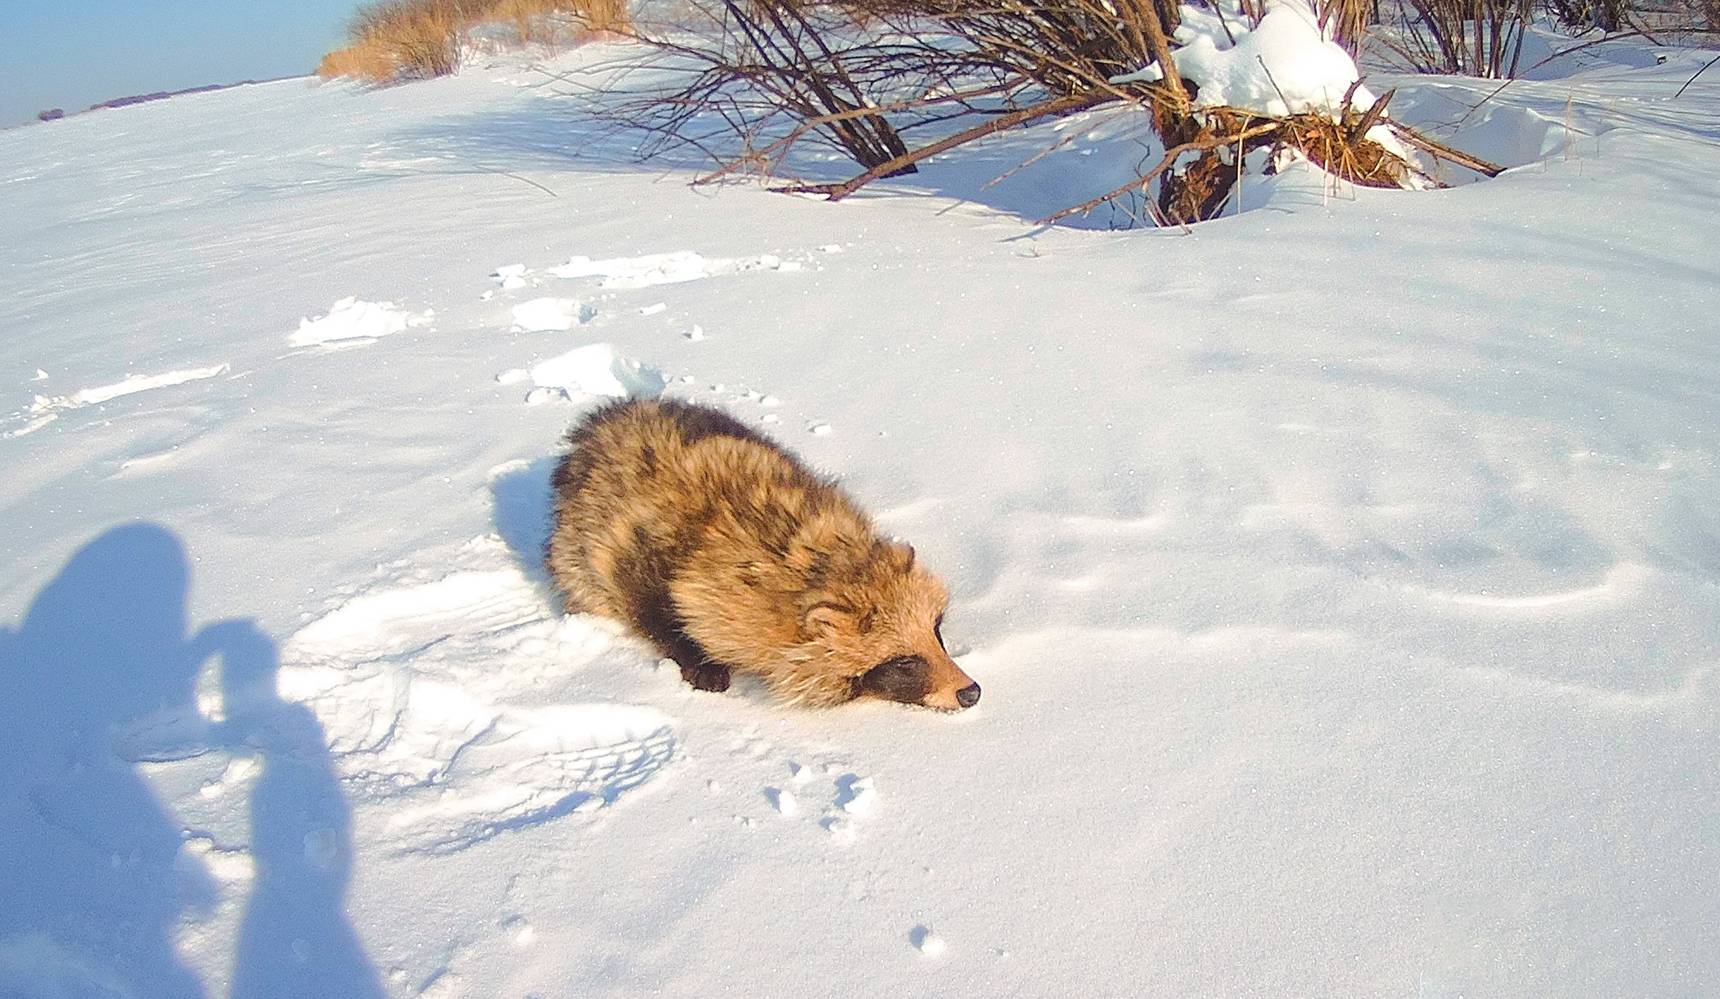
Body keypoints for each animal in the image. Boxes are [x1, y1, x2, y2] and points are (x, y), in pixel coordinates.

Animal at [550, 397, 983, 708]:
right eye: (903, 663)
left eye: (936, 633)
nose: (971, 692)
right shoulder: (637, 558)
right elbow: (652, 610)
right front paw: (699, 661)